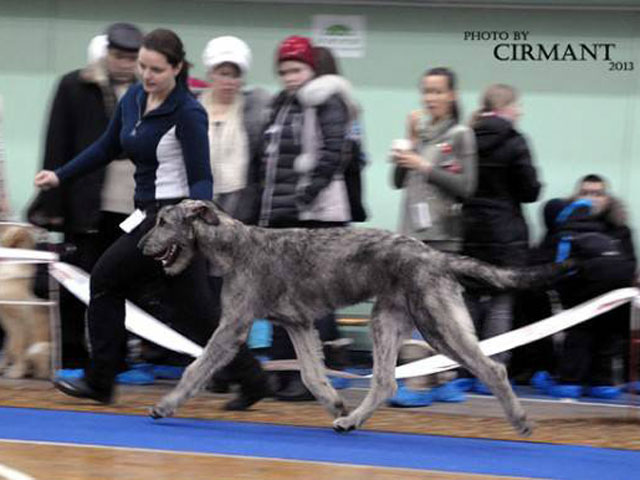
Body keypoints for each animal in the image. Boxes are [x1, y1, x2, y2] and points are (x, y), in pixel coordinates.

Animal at [0, 225, 50, 378]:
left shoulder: (18, 321)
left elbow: (16, 347)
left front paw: (16, 372)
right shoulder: (7, 324)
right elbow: (8, 348)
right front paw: (3, 367)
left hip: (39, 348)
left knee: (41, 371)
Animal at [141, 199, 568, 436]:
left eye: (163, 221)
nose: (142, 245)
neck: (235, 245)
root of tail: (437, 256)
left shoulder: (232, 326)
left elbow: (196, 368)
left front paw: (165, 405)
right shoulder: (298, 324)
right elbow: (312, 374)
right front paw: (334, 403)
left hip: (437, 324)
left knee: (492, 367)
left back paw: (520, 419)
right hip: (388, 321)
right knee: (385, 382)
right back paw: (350, 421)